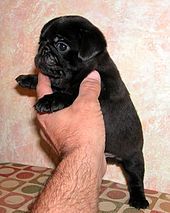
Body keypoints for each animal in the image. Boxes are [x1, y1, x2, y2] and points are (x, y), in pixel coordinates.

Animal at [15, 15, 149, 209]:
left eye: (62, 46)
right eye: (40, 42)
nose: (43, 49)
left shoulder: (99, 91)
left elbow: (70, 93)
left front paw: (49, 100)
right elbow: (55, 84)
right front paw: (28, 79)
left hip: (134, 158)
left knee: (135, 178)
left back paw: (139, 199)